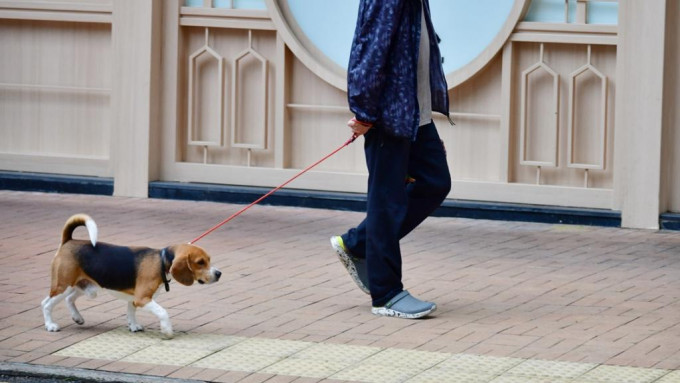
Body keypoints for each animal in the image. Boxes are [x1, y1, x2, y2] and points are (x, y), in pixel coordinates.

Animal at [41, 214, 220, 338]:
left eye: (209, 260)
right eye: (200, 262)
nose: (219, 274)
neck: (162, 261)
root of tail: (68, 241)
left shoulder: (135, 298)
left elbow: (131, 312)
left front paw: (133, 326)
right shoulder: (142, 298)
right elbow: (162, 312)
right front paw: (167, 330)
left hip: (86, 287)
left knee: (68, 299)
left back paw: (77, 317)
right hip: (64, 284)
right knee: (46, 304)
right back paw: (50, 325)